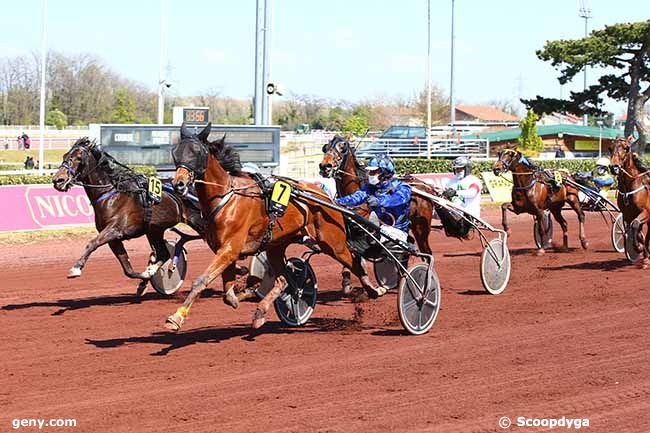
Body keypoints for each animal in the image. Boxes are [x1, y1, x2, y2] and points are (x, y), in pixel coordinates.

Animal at [53, 137, 205, 296]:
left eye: (78, 158)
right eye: (65, 156)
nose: (58, 180)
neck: (111, 195)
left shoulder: (115, 230)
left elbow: (92, 243)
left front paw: (76, 268)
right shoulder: (114, 240)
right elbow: (128, 269)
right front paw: (145, 277)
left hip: (197, 221)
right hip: (154, 230)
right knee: (163, 254)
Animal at [166, 123, 380, 330]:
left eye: (196, 152)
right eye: (176, 152)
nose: (179, 184)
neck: (227, 196)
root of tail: (324, 196)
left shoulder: (229, 249)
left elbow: (201, 281)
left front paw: (177, 317)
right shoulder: (225, 250)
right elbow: (227, 292)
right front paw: (239, 297)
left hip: (333, 243)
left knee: (353, 262)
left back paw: (374, 289)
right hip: (276, 246)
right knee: (283, 280)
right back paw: (261, 312)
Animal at [318, 134, 432, 290]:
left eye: (343, 147)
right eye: (325, 147)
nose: (325, 166)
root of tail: (426, 186)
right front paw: (347, 280)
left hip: (421, 228)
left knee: (425, 253)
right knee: (406, 245)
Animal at [608, 135, 648, 264]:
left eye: (626, 148)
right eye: (610, 148)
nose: (614, 167)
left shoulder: (646, 212)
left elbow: (635, 225)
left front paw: (638, 247)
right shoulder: (627, 215)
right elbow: (636, 231)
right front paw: (640, 247)